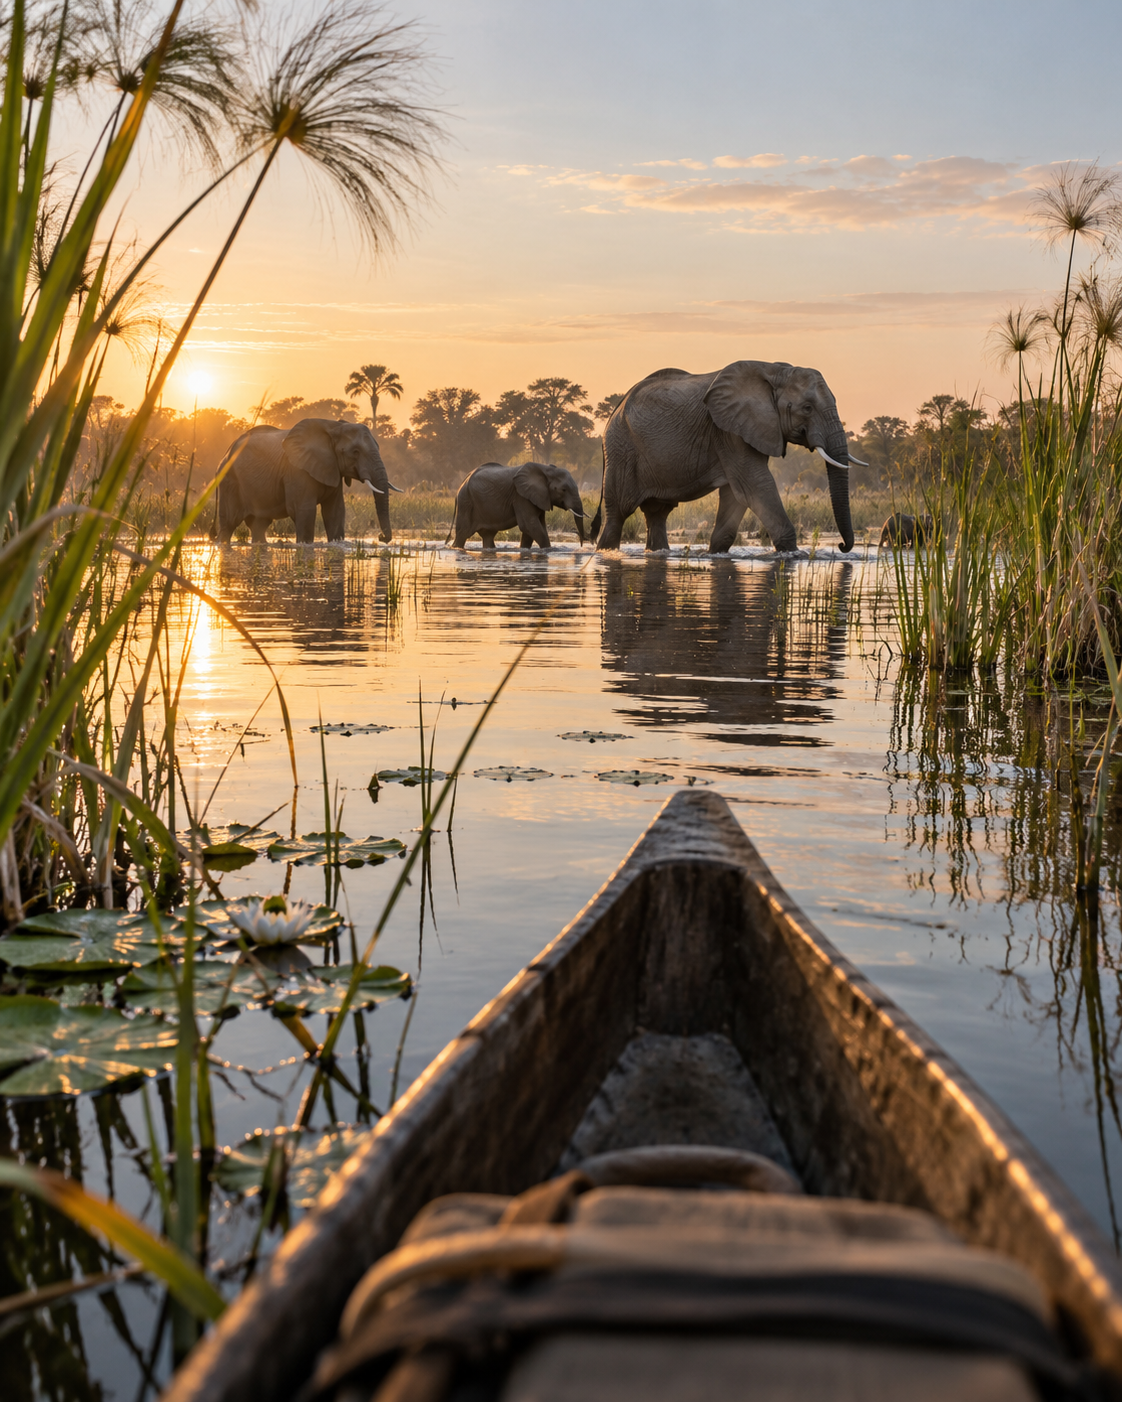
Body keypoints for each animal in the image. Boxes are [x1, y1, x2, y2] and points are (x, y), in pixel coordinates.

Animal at [212, 419, 399, 544]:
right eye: (355, 452)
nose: (381, 537)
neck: (334, 427)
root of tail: (224, 454)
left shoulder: (332, 469)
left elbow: (335, 511)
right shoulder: (297, 471)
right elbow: (304, 510)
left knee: (259, 525)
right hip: (230, 481)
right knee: (229, 523)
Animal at [447, 462, 585, 549]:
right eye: (563, 490)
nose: (581, 544)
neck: (546, 469)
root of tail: (463, 482)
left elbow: (535, 527)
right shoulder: (521, 496)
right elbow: (529, 525)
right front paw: (548, 550)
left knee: (488, 535)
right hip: (466, 502)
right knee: (462, 534)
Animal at [589, 361, 856, 555]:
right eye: (807, 408)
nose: (842, 547)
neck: (776, 370)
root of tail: (615, 408)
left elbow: (736, 494)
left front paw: (714, 554)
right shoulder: (728, 431)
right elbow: (756, 485)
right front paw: (792, 554)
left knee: (657, 513)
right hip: (621, 450)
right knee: (618, 513)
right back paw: (605, 551)